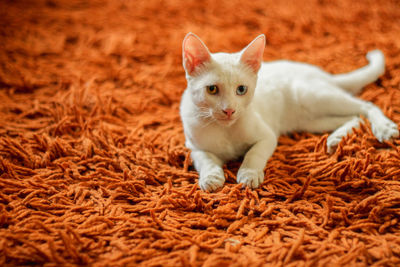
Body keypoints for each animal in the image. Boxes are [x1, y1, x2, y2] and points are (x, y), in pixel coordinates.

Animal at [180, 33, 398, 193]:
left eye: (241, 89)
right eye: (212, 89)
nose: (229, 110)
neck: (225, 129)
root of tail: (322, 74)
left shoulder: (267, 137)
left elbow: (254, 153)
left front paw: (249, 174)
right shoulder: (194, 147)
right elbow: (206, 160)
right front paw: (211, 177)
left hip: (312, 96)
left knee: (367, 106)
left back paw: (384, 128)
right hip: (310, 120)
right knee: (354, 117)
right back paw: (337, 139)